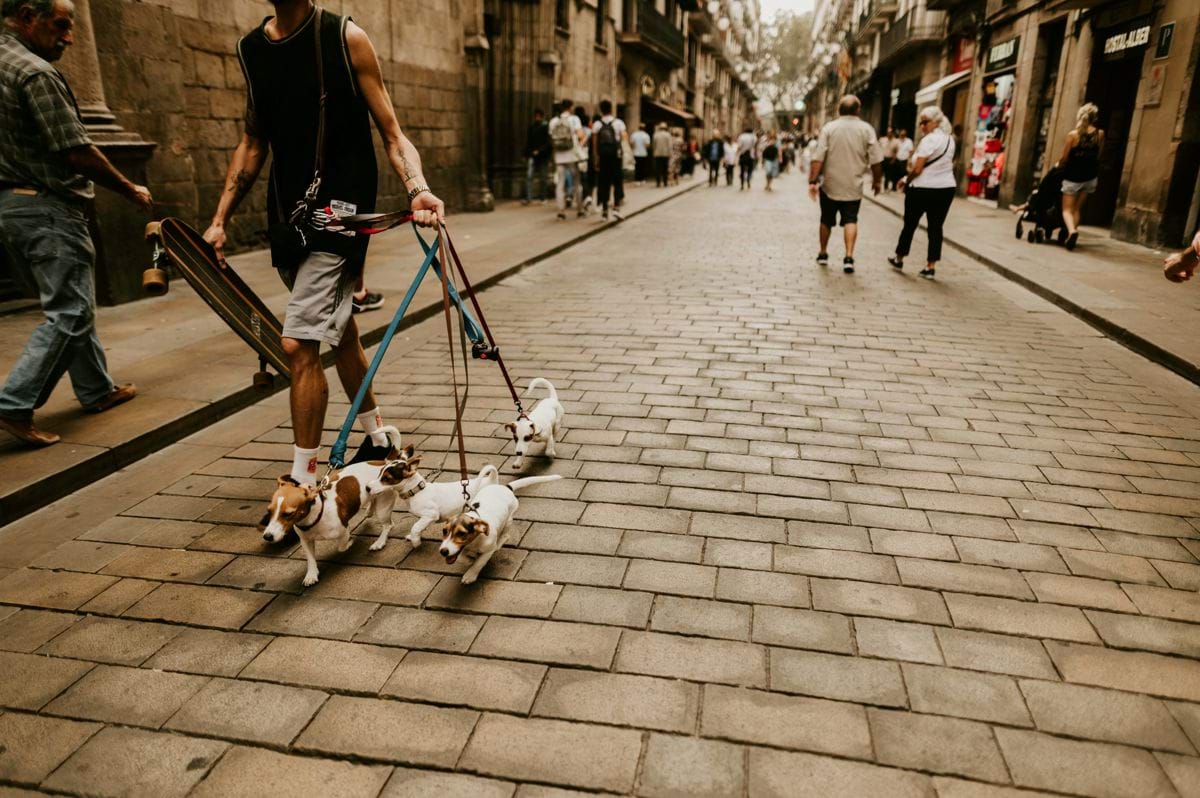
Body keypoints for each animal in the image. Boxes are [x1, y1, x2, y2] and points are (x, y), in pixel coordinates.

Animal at [260, 460, 396, 585]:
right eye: (269, 511)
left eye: (288, 514)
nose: (267, 536)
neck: (315, 517)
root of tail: (385, 462)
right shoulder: (305, 540)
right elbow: (310, 558)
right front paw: (311, 574)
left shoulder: (344, 530)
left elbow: (341, 546)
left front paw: (350, 543)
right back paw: (369, 510)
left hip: (383, 508)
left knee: (388, 525)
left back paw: (379, 542)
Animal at [362, 444, 499, 552]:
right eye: (379, 473)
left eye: (387, 479)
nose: (367, 488)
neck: (416, 491)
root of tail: (491, 479)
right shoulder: (425, 518)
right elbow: (419, 527)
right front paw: (415, 537)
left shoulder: (431, 514)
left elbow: (415, 527)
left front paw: (415, 541)